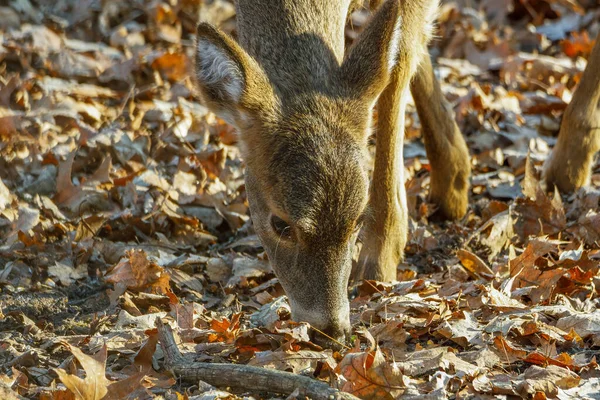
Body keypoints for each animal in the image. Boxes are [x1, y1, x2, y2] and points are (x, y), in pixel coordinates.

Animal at [193, 0, 600, 346]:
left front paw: (384, 249)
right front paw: (455, 174)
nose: (331, 329)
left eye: (358, 220)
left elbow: (399, 59)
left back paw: (570, 162)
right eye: (279, 224)